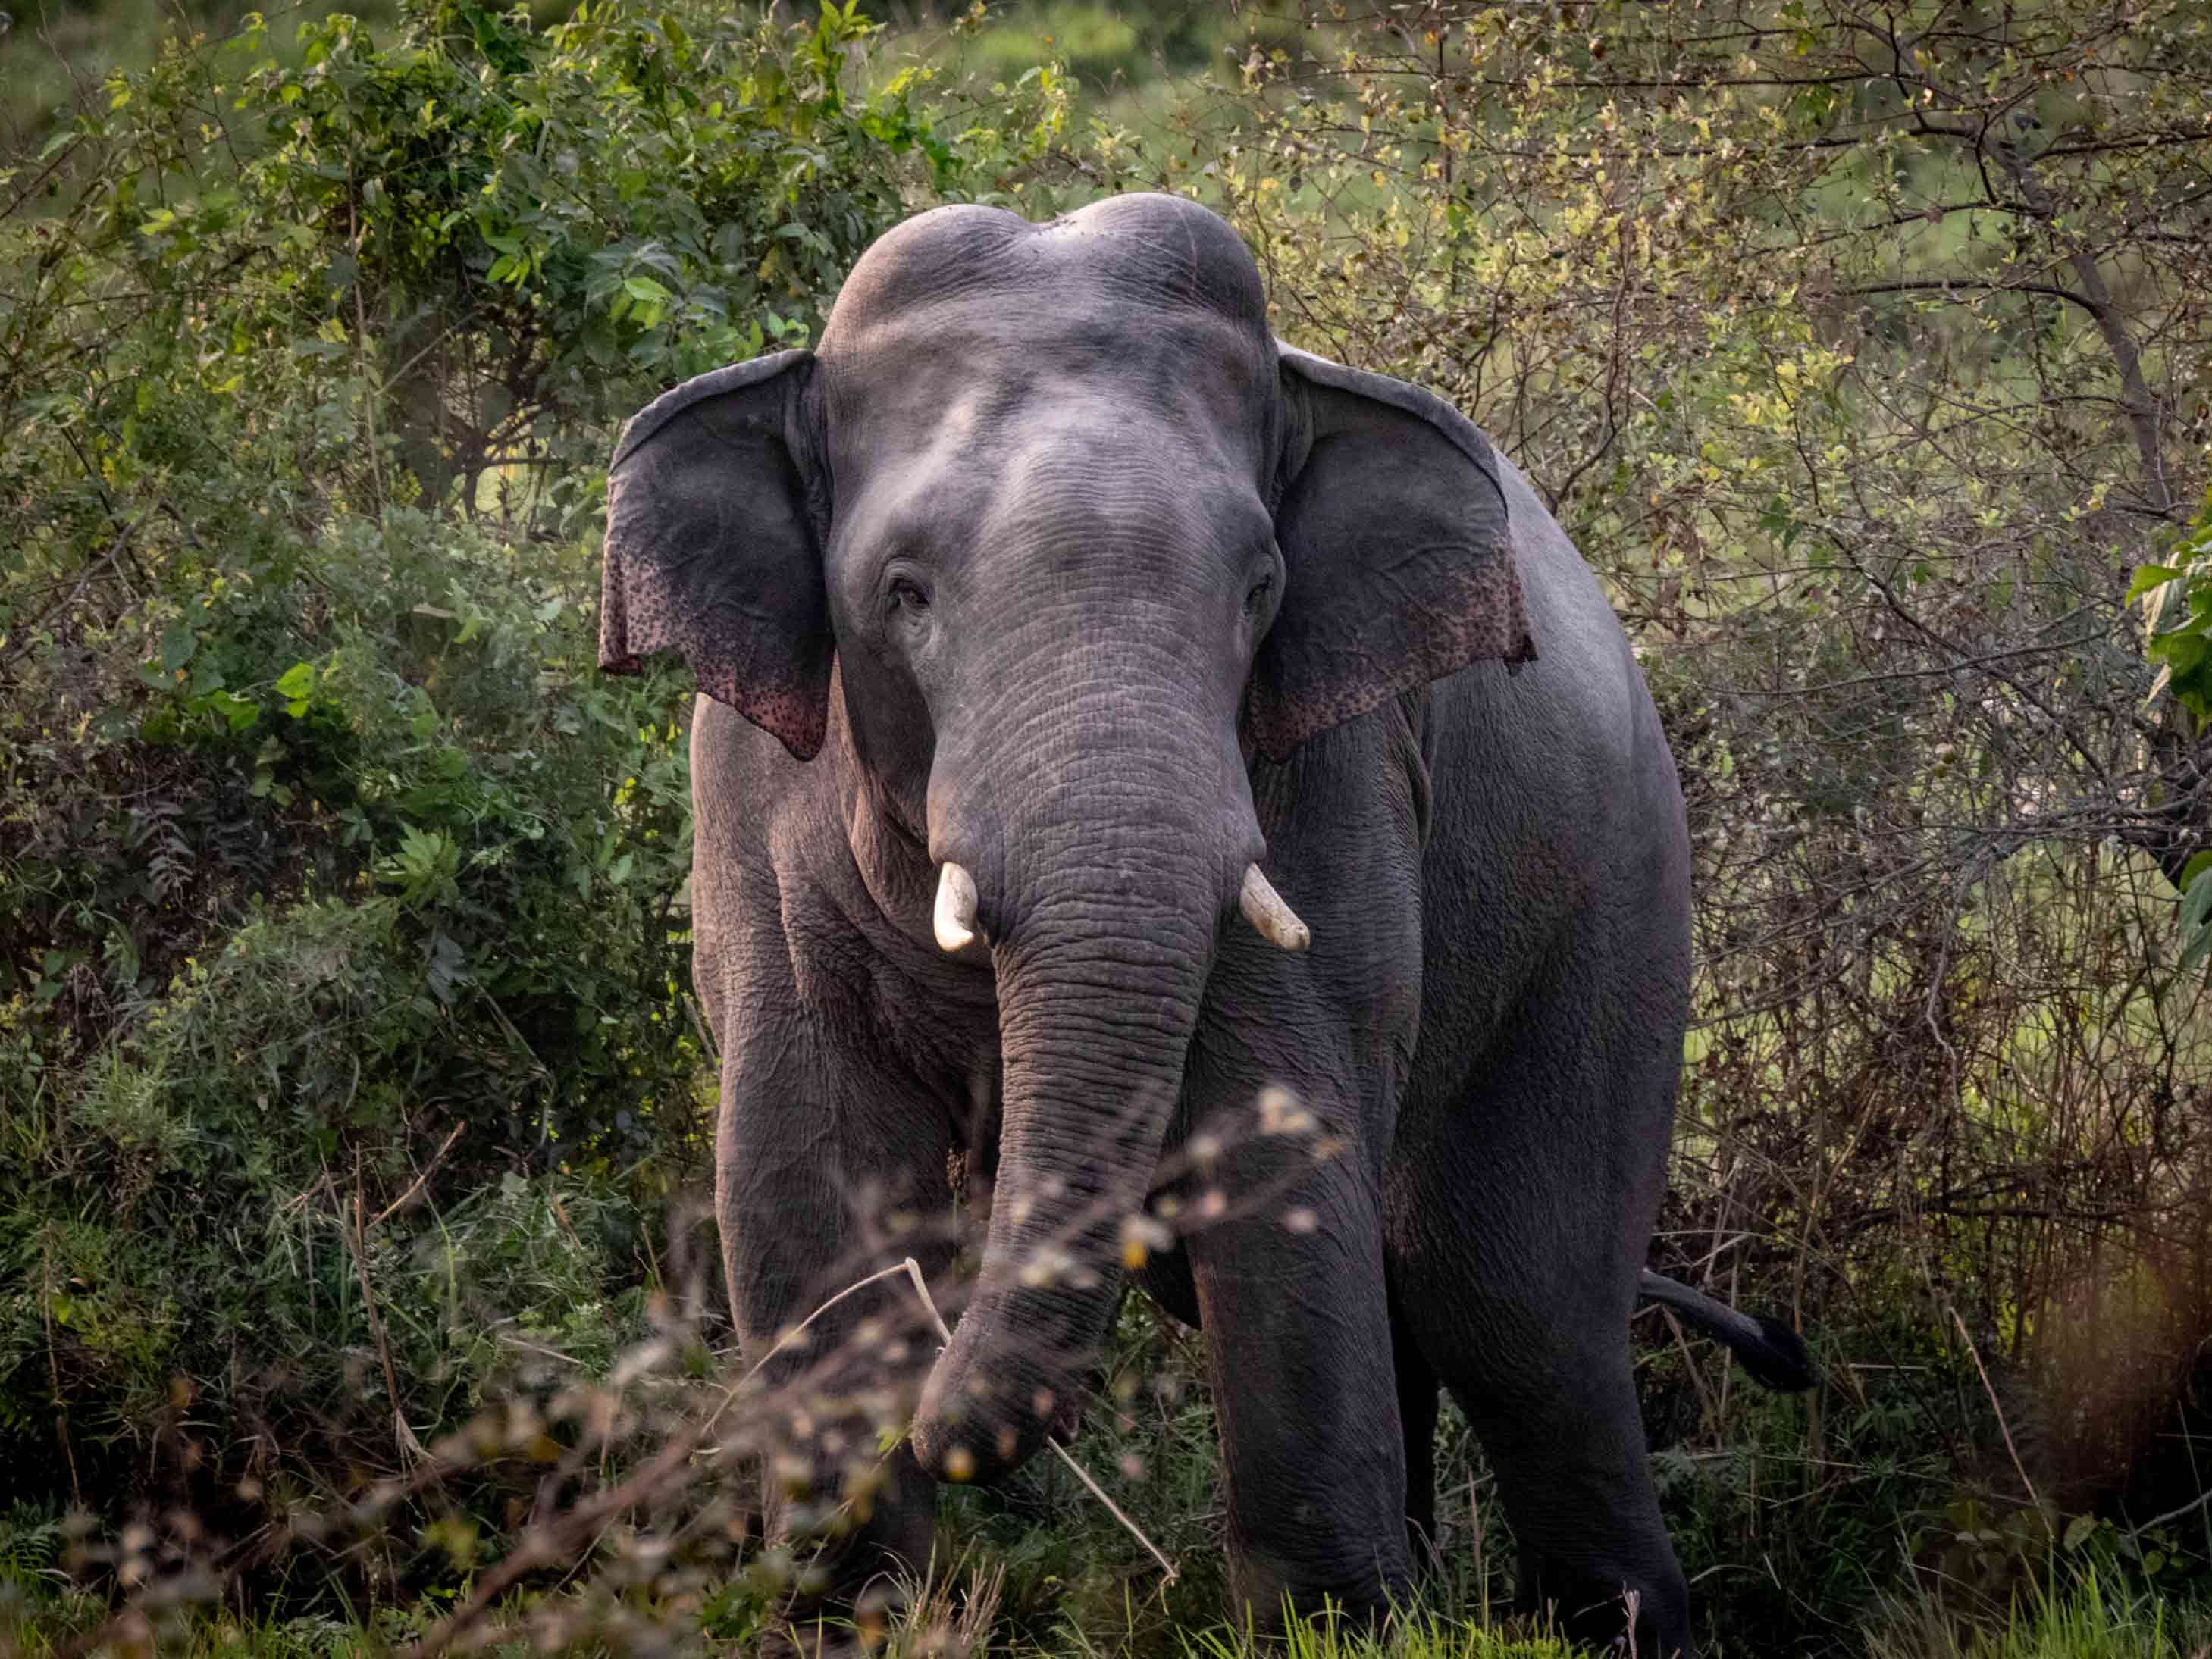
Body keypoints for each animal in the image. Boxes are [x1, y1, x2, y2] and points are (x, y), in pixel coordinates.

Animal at [597, 194, 1805, 1659]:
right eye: (903, 591)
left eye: (1258, 587)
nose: (937, 1416)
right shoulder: (753, 814)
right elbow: (801, 1173)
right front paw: (845, 1611)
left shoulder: (1335, 769)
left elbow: (1280, 1149)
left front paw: (1329, 1630)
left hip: (1616, 897)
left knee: (1513, 1309)